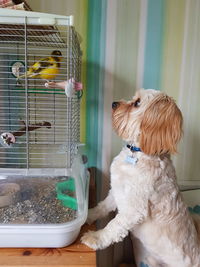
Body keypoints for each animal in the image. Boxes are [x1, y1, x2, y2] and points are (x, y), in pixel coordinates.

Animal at [81, 89, 200, 266]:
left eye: (137, 103)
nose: (114, 103)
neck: (137, 154)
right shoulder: (117, 191)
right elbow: (102, 207)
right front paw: (87, 215)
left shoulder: (133, 210)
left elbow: (114, 225)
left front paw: (95, 237)